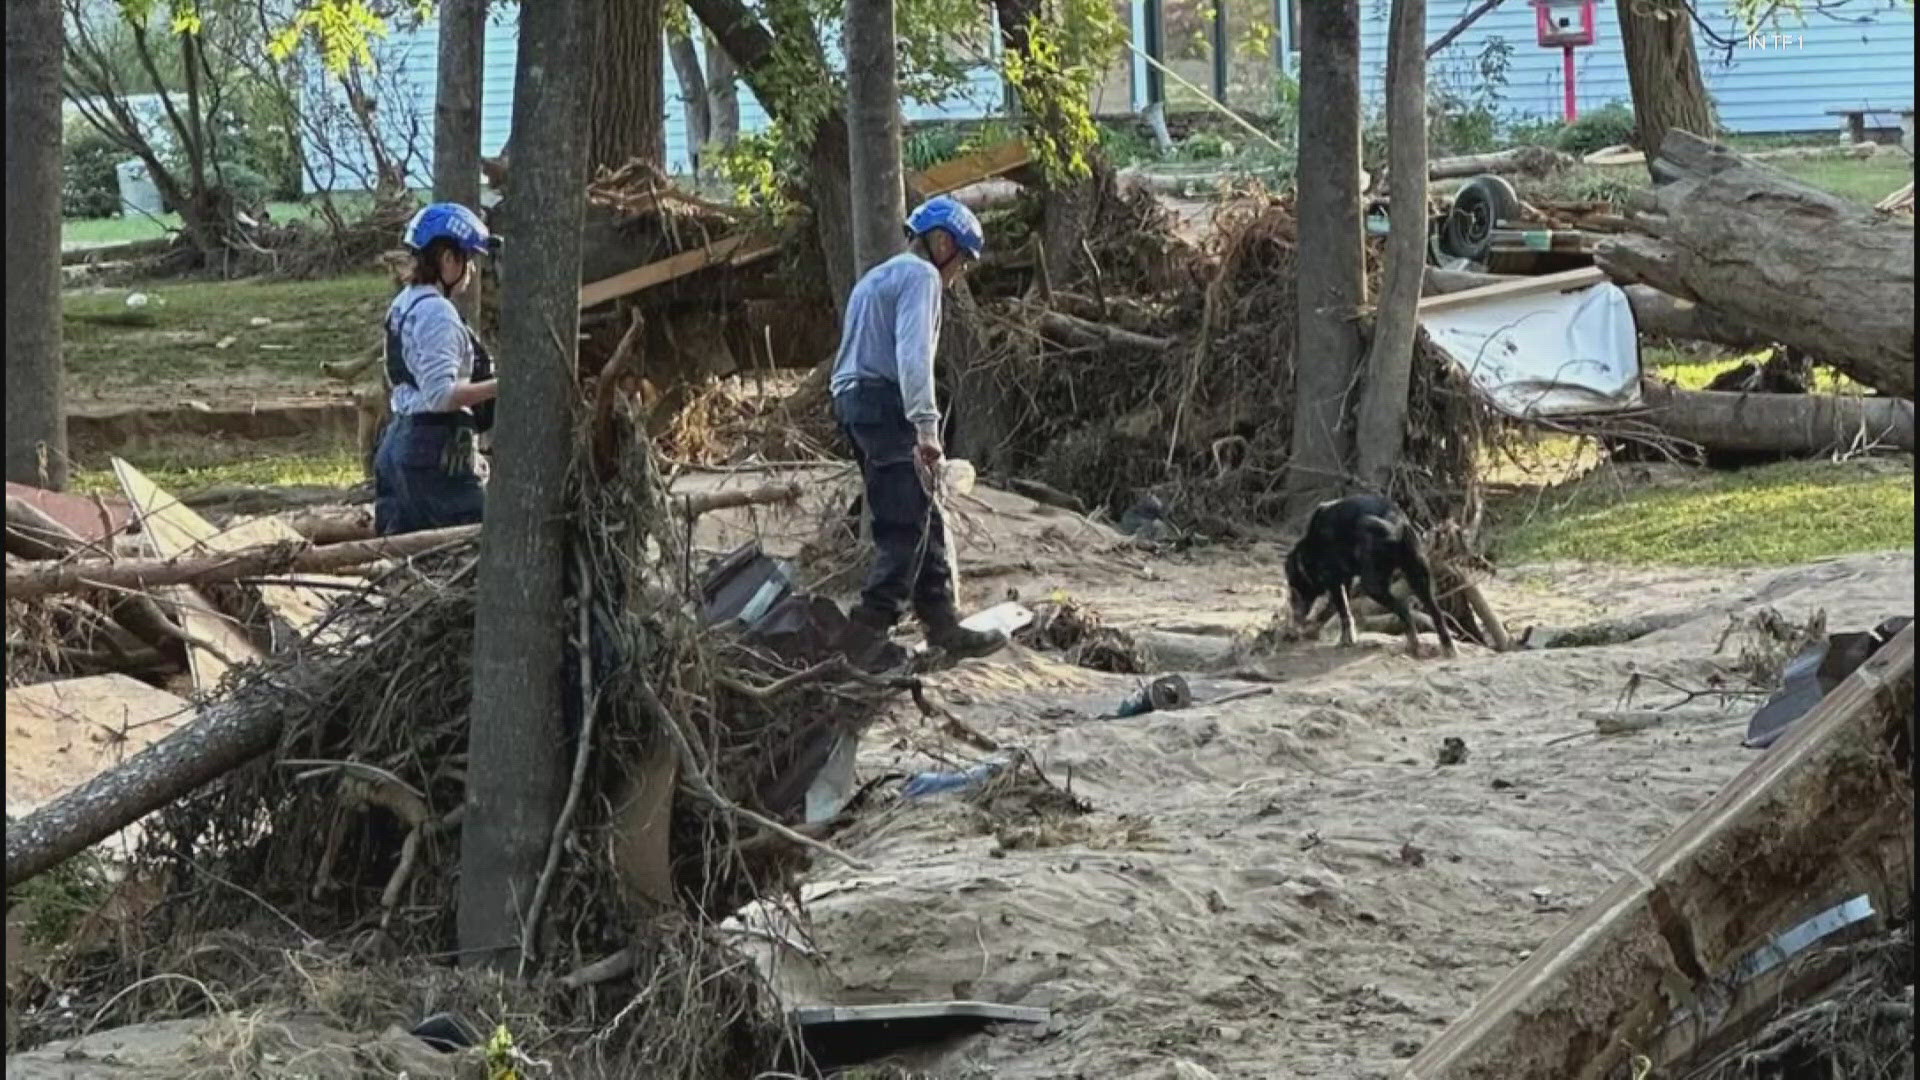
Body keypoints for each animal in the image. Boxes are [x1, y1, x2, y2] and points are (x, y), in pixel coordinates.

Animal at [1290, 495, 1451, 657]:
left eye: (1295, 589)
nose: (1295, 614)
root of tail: (1397, 525)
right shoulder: (1344, 578)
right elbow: (1345, 604)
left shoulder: (1333, 578)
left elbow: (1342, 606)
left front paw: (1345, 640)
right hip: (1418, 565)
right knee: (1433, 606)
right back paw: (1446, 646)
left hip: (1373, 581)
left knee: (1403, 608)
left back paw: (1414, 644)